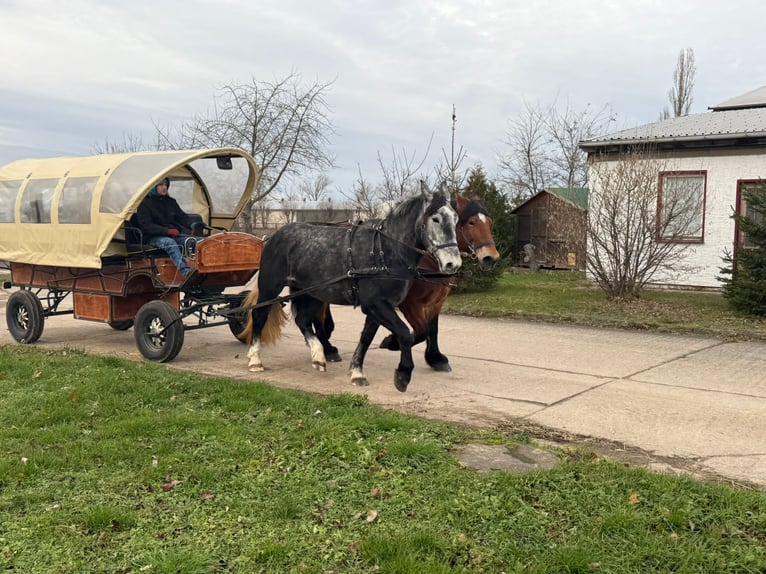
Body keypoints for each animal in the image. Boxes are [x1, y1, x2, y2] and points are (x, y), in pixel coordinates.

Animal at [320, 195, 500, 374]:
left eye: (490, 222)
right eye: (471, 222)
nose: (491, 258)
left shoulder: (435, 302)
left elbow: (432, 329)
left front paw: (435, 357)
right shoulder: (409, 303)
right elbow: (421, 331)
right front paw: (392, 342)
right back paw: (327, 347)